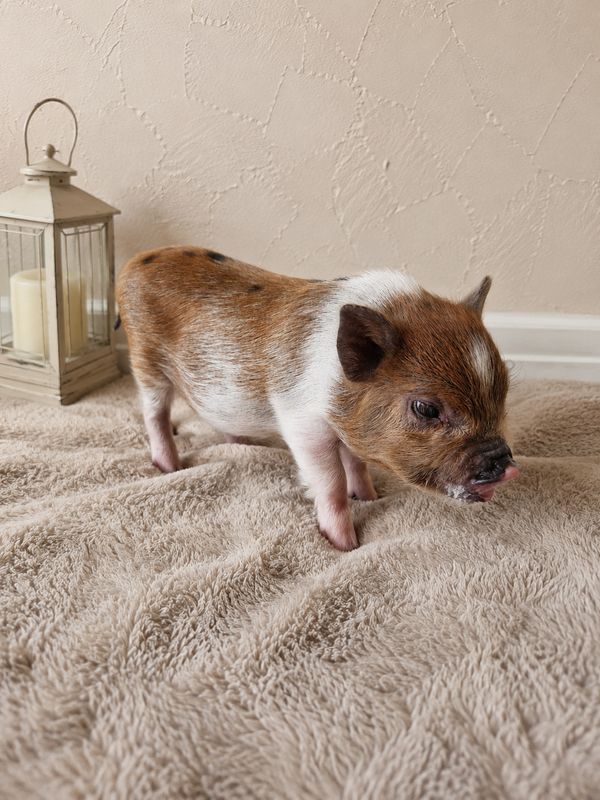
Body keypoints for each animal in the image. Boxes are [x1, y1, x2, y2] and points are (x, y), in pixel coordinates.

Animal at [116, 247, 519, 551]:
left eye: (503, 388)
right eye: (426, 408)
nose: (504, 461)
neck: (335, 388)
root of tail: (133, 263)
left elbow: (355, 464)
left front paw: (370, 497)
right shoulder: (302, 423)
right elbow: (331, 484)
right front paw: (345, 545)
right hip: (145, 359)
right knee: (153, 413)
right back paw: (169, 467)